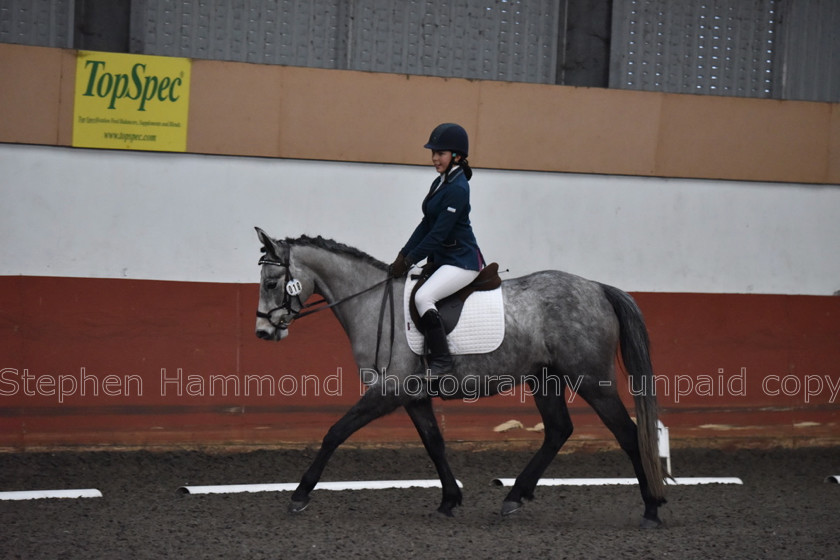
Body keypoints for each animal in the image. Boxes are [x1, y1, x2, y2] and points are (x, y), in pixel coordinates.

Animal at [253, 228, 668, 524]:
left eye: (271, 283)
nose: (262, 332)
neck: (369, 303)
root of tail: (597, 288)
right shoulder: (413, 395)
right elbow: (434, 442)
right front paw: (450, 500)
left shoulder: (388, 390)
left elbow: (335, 432)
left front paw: (300, 495)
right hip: (544, 379)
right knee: (558, 430)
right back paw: (514, 497)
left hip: (592, 381)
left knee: (627, 433)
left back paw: (651, 508)